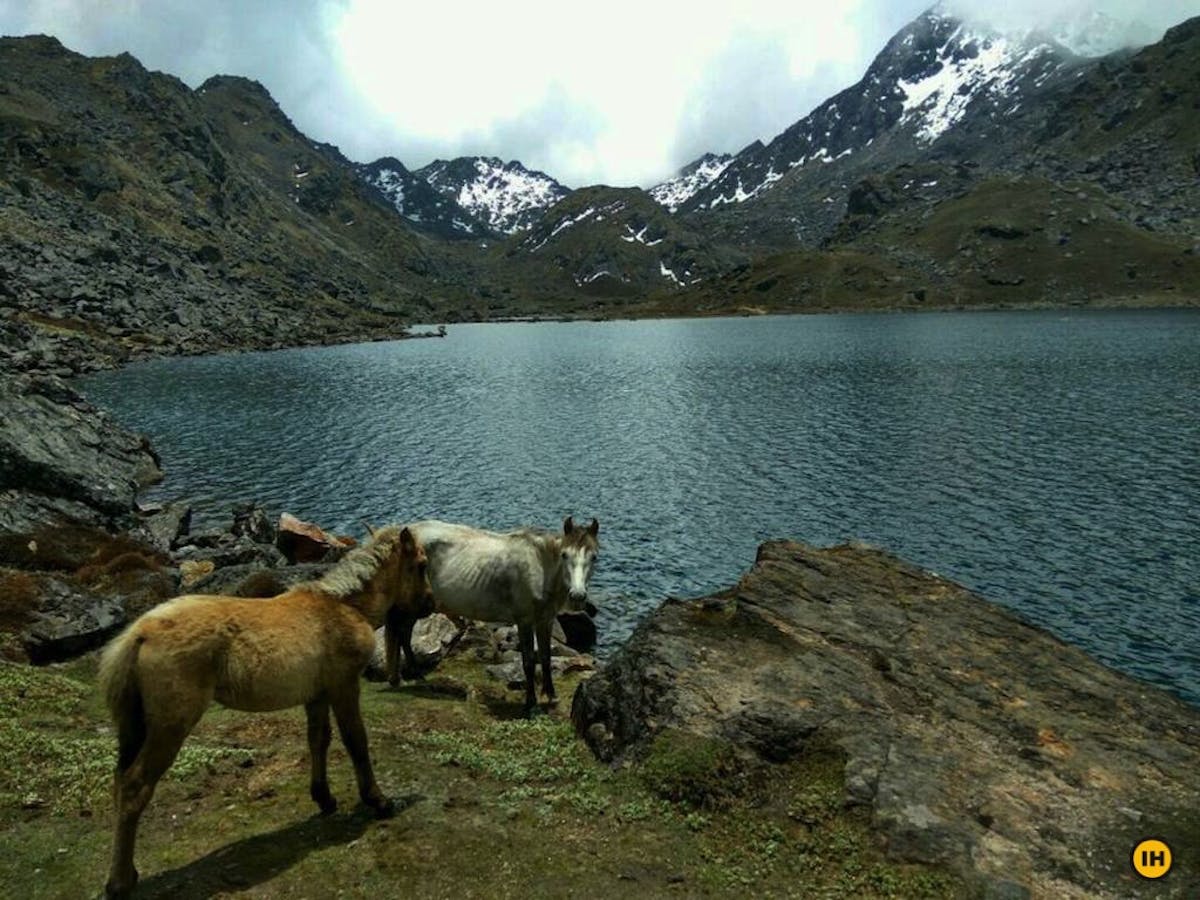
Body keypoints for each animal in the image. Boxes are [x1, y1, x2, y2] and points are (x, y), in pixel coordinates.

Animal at [98, 525, 434, 897]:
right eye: (422, 564)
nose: (430, 604)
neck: (343, 607)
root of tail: (138, 634)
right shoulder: (343, 685)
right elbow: (355, 741)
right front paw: (378, 800)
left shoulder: (316, 695)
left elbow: (319, 740)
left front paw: (324, 798)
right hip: (170, 725)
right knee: (134, 787)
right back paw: (119, 882)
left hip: (136, 727)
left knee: (119, 782)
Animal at [384, 518, 600, 715]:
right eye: (564, 555)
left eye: (594, 557)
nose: (578, 595)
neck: (540, 568)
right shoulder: (525, 621)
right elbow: (529, 661)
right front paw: (531, 705)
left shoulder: (545, 620)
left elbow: (545, 658)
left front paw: (552, 697)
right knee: (401, 632)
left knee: (403, 634)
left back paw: (412, 677)